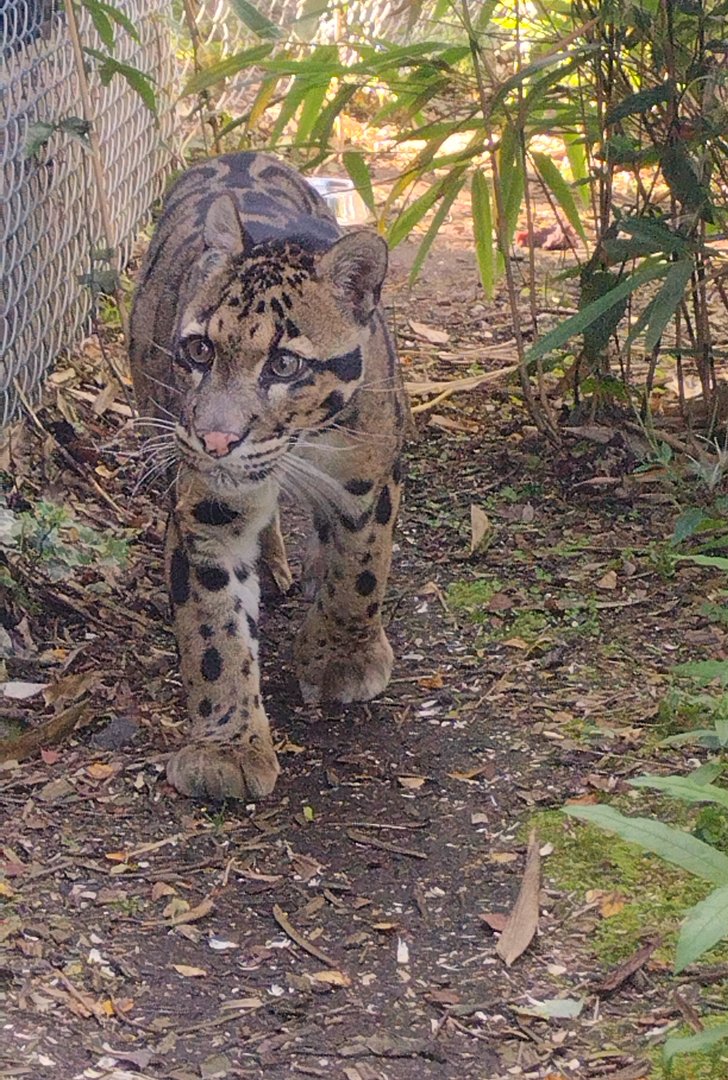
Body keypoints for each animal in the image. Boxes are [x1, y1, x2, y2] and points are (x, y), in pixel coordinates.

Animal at [129, 151, 408, 803]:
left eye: (284, 364)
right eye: (199, 351)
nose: (215, 440)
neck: (302, 444)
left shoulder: (369, 481)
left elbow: (361, 570)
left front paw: (341, 657)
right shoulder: (205, 510)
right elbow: (214, 632)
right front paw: (227, 749)